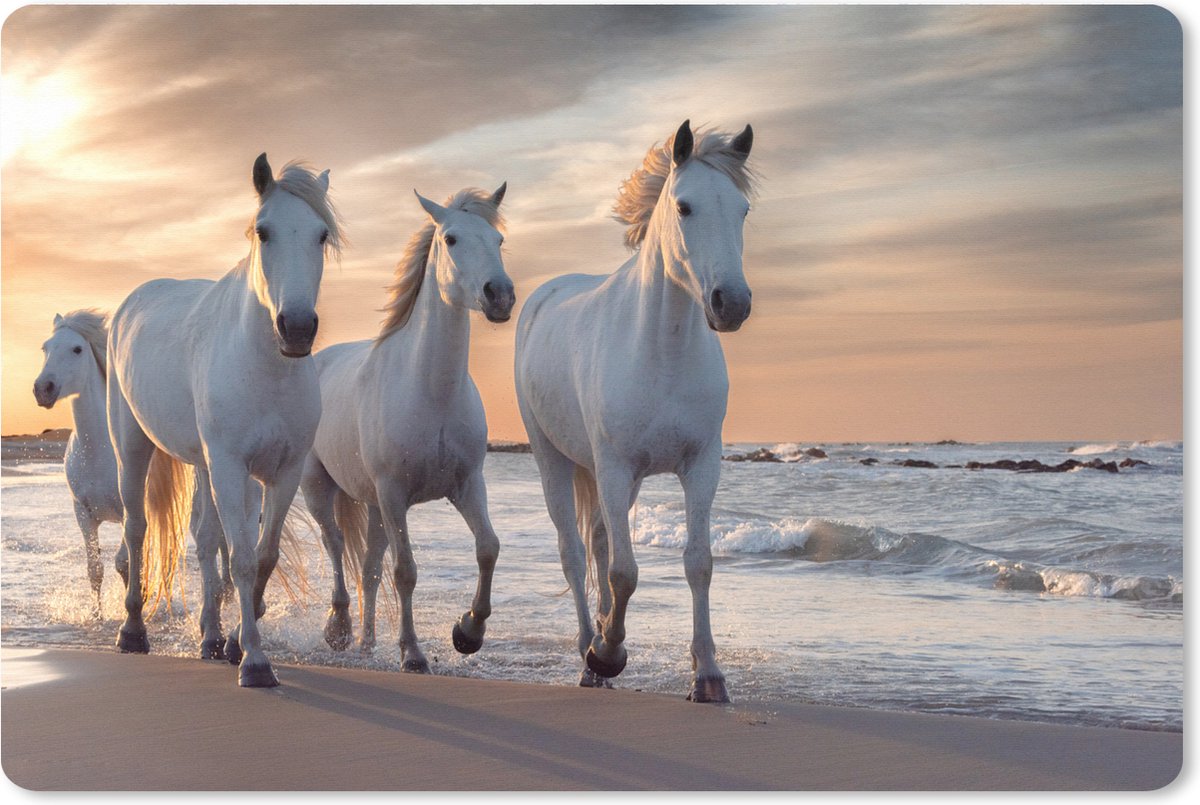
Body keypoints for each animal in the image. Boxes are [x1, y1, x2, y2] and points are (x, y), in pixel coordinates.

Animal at [33, 310, 233, 616]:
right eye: (45, 348)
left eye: (77, 349)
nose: (43, 389)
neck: (97, 450)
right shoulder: (84, 514)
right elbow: (96, 569)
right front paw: (97, 615)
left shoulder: (131, 509)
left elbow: (124, 563)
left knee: (221, 540)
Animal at [106, 154, 342, 687]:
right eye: (264, 231)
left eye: (321, 234)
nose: (297, 328)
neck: (266, 368)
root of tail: (132, 302)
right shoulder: (232, 467)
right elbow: (241, 559)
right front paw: (254, 662)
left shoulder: (282, 471)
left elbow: (262, 555)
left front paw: (236, 644)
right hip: (132, 447)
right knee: (136, 528)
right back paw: (132, 632)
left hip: (204, 465)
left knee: (204, 539)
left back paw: (211, 639)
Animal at [300, 184, 513, 672]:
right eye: (451, 239)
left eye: (498, 241)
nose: (499, 295)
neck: (431, 392)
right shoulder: (395, 493)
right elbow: (406, 571)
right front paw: (413, 653)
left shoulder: (466, 485)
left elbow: (487, 547)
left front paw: (468, 632)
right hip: (320, 487)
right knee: (335, 544)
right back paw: (339, 630)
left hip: (374, 505)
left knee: (368, 566)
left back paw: (366, 643)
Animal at [514, 120, 755, 702]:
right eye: (685, 207)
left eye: (742, 210)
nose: (731, 303)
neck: (662, 351)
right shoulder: (615, 467)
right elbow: (624, 572)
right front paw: (607, 653)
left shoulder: (700, 466)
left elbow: (698, 563)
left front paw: (708, 675)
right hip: (554, 460)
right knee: (575, 553)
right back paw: (590, 652)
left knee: (599, 541)